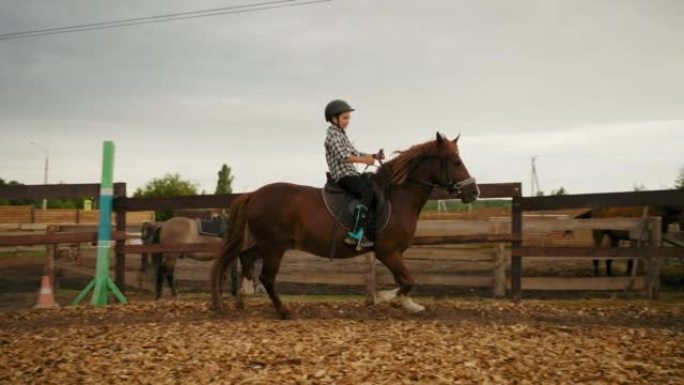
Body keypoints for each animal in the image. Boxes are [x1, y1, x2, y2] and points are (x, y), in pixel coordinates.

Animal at [211, 132, 478, 318]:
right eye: (455, 161)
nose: (474, 192)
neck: (398, 197)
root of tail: (254, 194)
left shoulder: (394, 254)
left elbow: (406, 281)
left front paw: (410, 305)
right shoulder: (387, 252)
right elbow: (407, 281)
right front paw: (384, 297)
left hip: (267, 243)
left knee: (245, 258)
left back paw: (240, 301)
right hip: (274, 246)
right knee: (266, 276)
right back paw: (283, 311)